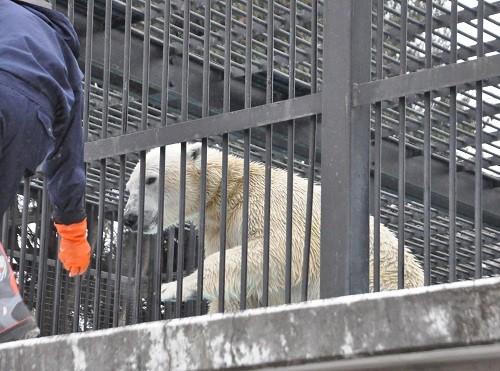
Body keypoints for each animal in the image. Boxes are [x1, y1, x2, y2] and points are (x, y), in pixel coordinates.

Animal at [123, 142, 424, 314]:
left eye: (150, 179)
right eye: (128, 187)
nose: (130, 217)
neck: (228, 192)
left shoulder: (268, 204)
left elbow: (277, 249)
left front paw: (173, 288)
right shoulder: (219, 229)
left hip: (382, 277)